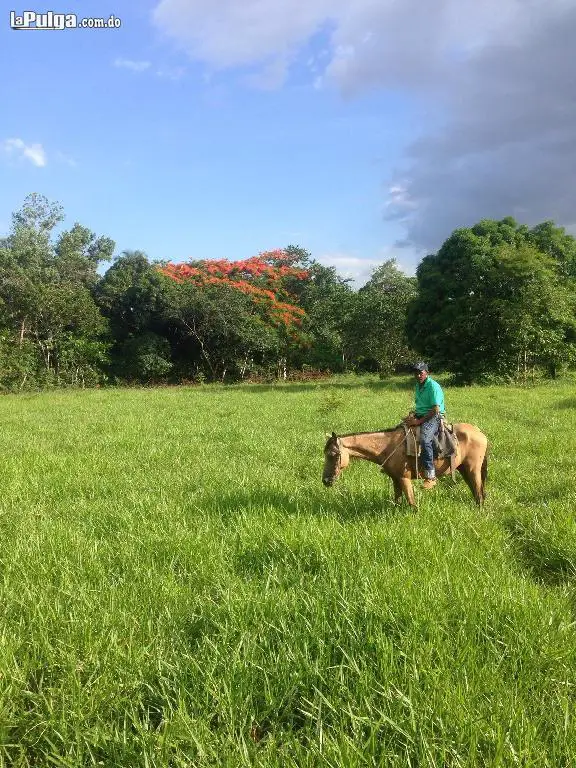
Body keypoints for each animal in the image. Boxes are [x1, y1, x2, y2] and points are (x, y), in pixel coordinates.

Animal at [322, 424, 488, 508]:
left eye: (333, 455)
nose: (326, 480)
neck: (387, 446)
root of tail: (479, 432)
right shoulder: (395, 478)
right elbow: (398, 500)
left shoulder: (404, 477)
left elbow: (412, 503)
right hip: (463, 469)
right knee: (476, 491)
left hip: (473, 469)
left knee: (479, 493)